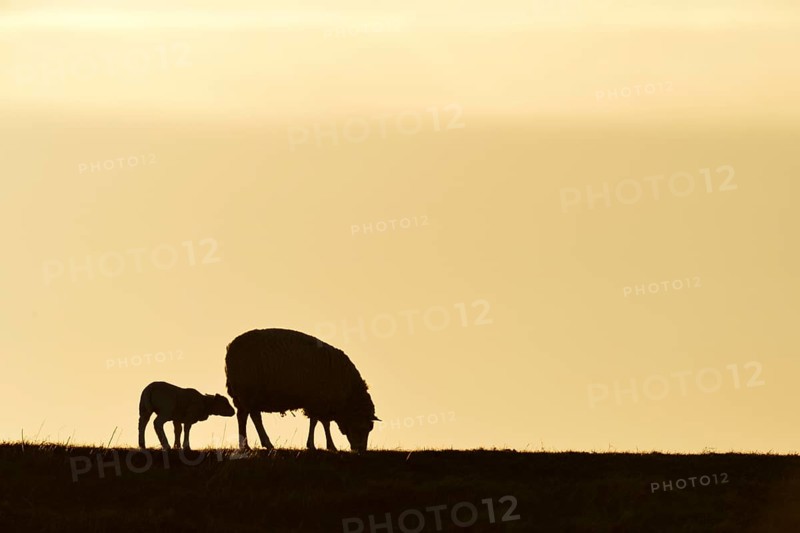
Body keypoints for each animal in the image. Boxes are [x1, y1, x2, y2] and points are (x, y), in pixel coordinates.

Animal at [225, 328, 380, 453]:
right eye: (363, 428)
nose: (361, 450)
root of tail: (230, 349)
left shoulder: (322, 403)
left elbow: (323, 423)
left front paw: (328, 445)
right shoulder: (318, 401)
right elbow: (317, 422)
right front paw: (316, 445)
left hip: (242, 395)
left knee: (243, 416)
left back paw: (246, 445)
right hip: (250, 392)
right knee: (254, 417)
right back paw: (265, 444)